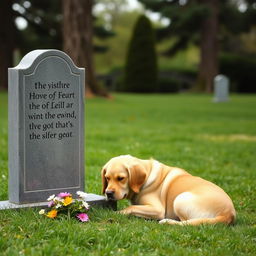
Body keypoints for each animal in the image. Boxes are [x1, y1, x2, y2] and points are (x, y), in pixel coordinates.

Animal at [101, 155, 236, 225]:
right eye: (107, 178)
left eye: (121, 178)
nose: (108, 193)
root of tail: (228, 213)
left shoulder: (157, 209)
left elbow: (131, 207)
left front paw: (116, 213)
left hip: (180, 199)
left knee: (186, 223)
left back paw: (168, 221)